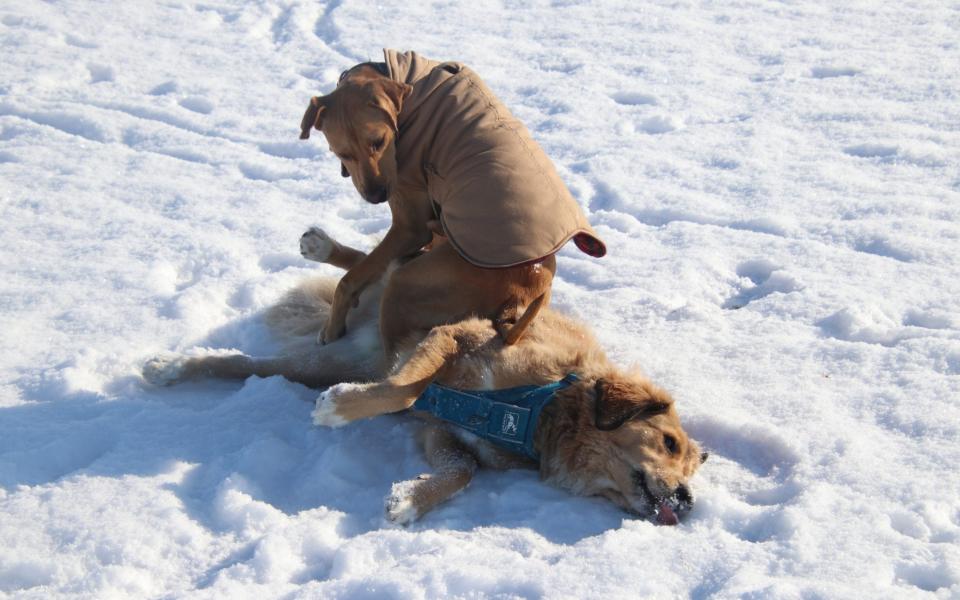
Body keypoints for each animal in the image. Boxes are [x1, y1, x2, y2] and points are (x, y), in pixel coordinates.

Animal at [298, 51, 608, 354]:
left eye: (379, 141)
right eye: (342, 153)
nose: (376, 196)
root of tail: (533, 285)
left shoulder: (410, 225)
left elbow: (350, 280)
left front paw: (333, 326)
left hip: (409, 283)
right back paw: (321, 247)